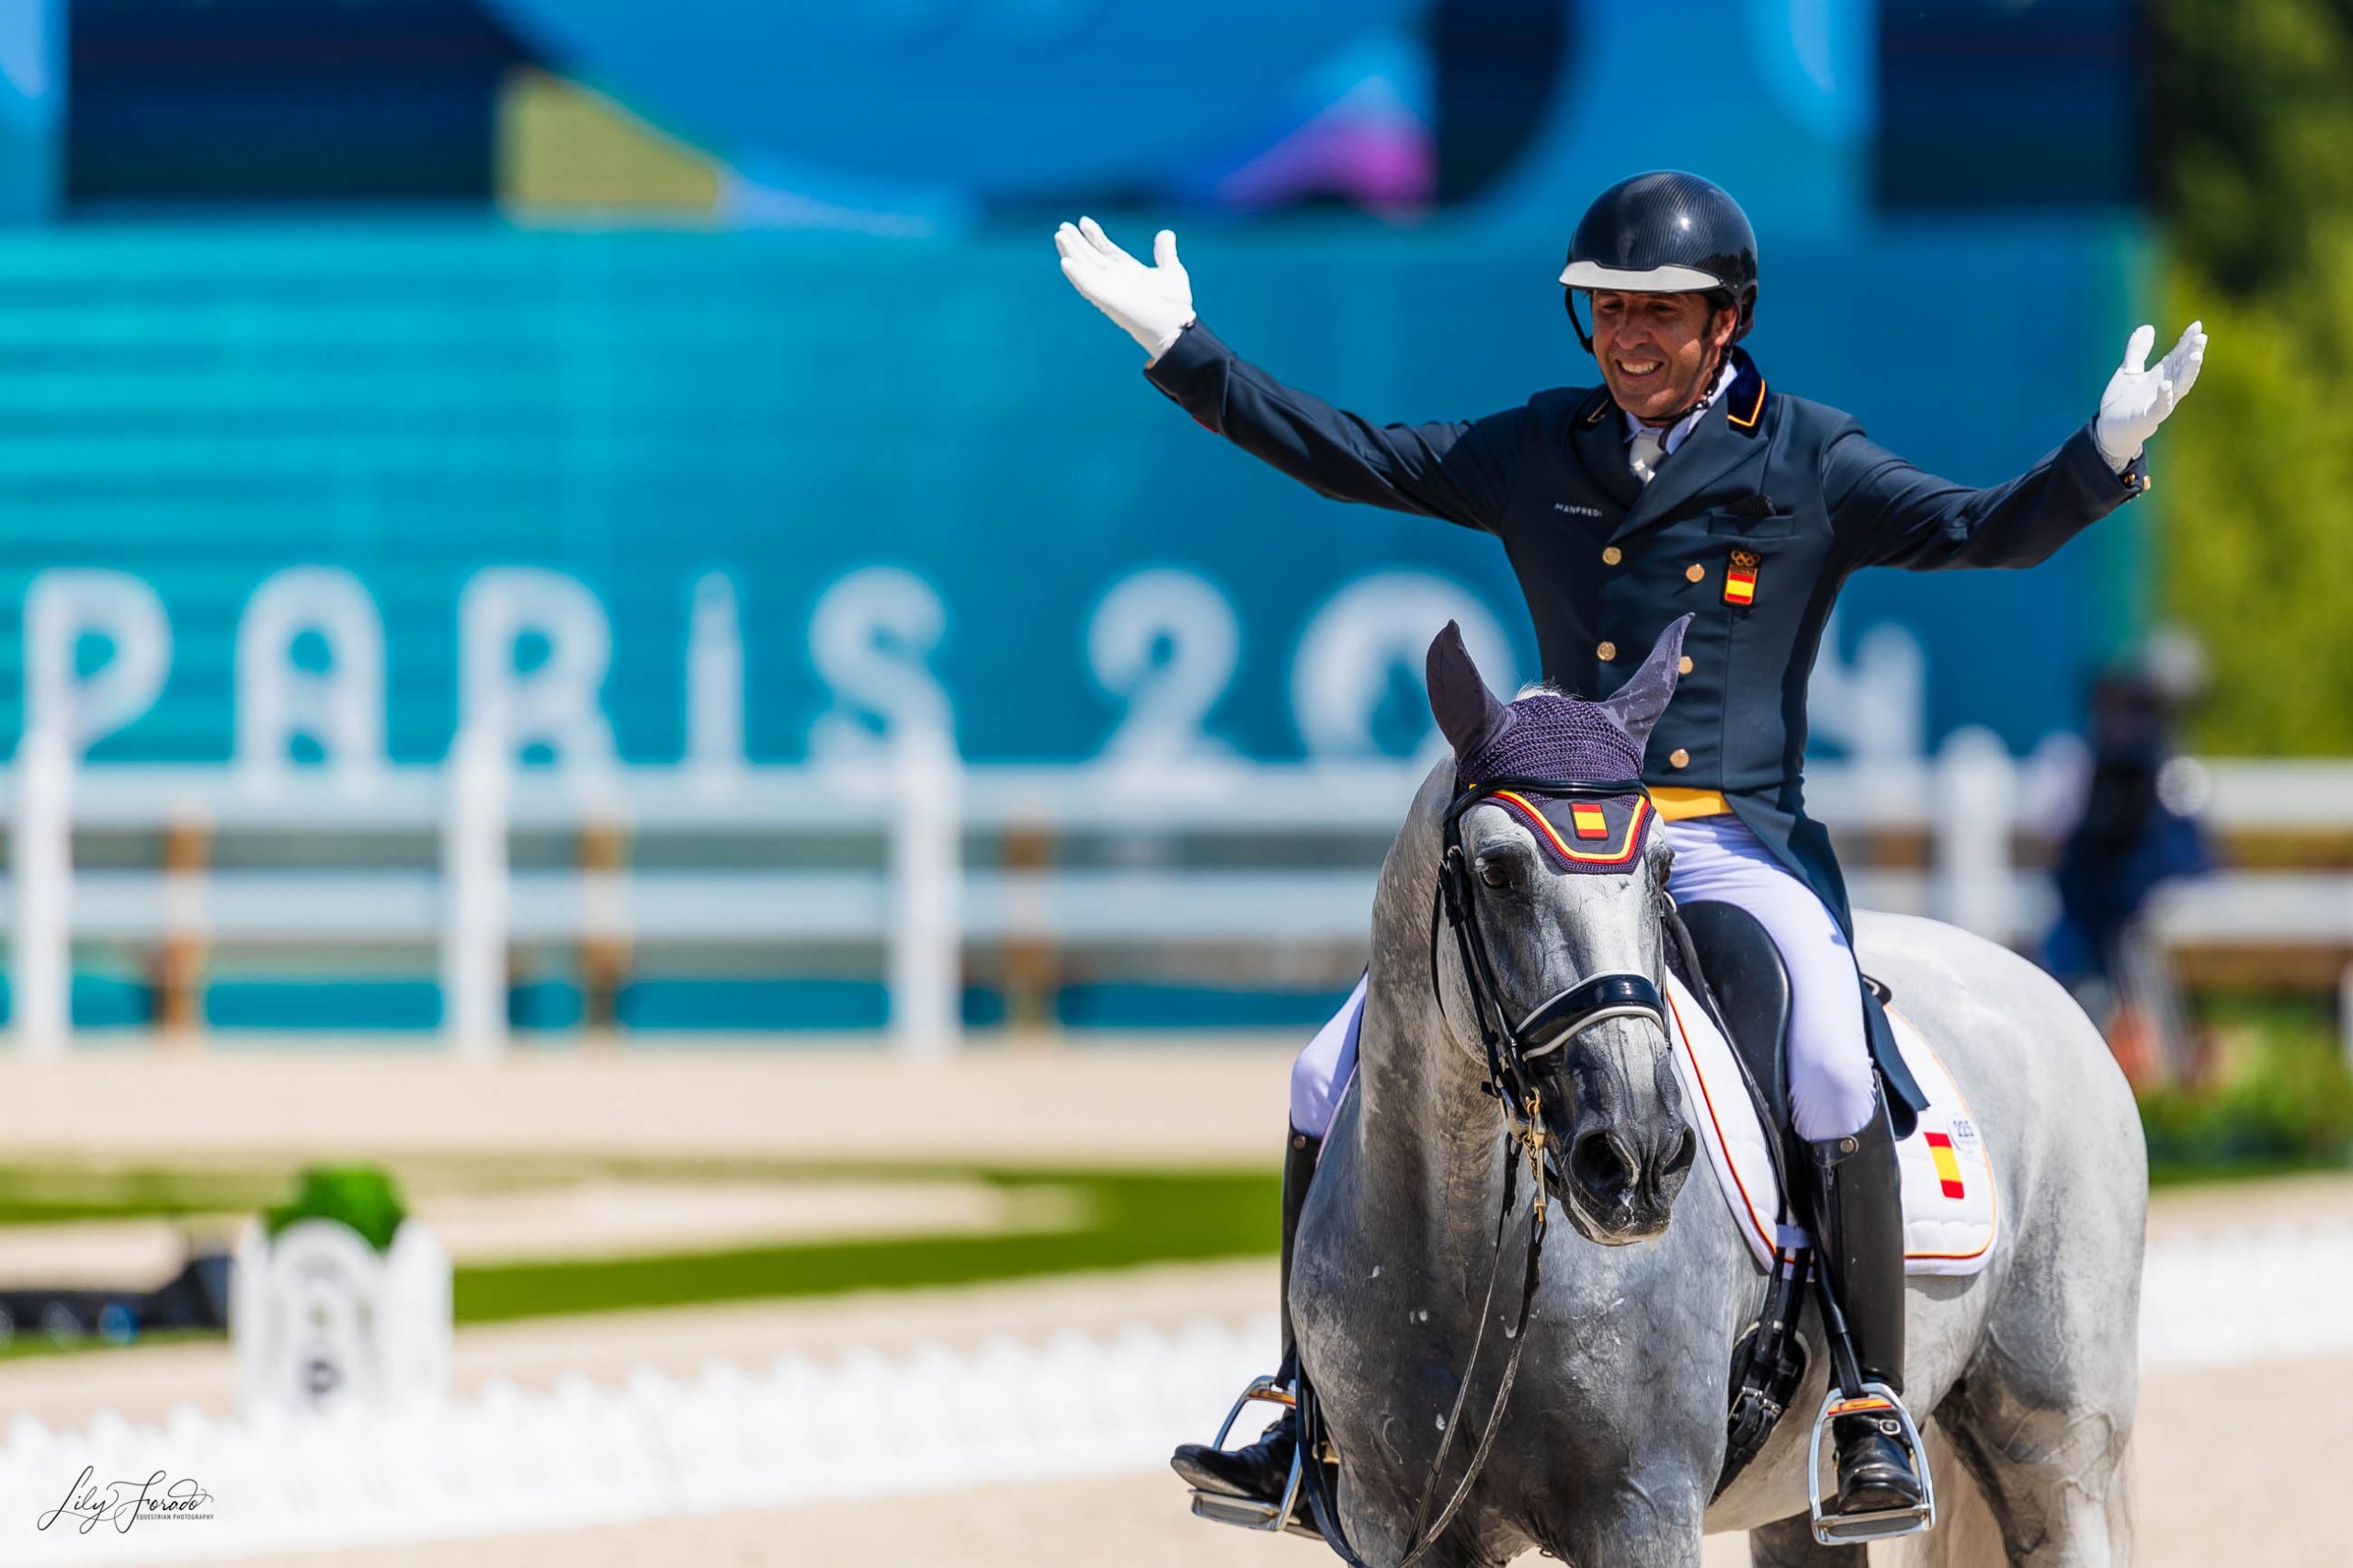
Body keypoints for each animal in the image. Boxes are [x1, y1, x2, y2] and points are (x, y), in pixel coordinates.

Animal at [1299, 621, 2145, 1562]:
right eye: (1498, 872)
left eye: (1663, 867)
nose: (1637, 1157)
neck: (1462, 1245)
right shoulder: (1390, 1521)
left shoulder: (1643, 1510)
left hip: (2056, 1449)